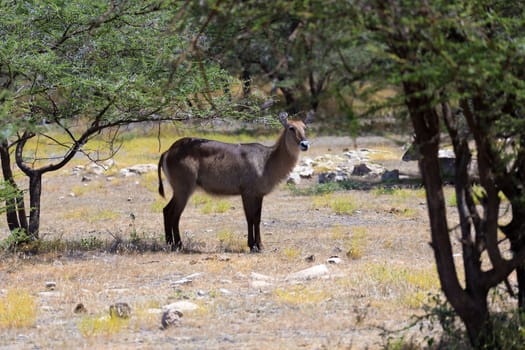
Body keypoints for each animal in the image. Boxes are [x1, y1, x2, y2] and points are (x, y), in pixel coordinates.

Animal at [158, 112, 310, 252]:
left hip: (179, 190)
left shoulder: (258, 194)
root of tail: (168, 151)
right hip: (183, 189)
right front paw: (252, 245)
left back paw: (170, 244)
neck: (267, 160)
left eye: (304, 127)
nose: (305, 144)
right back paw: (178, 245)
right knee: (174, 214)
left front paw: (260, 245)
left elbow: (257, 218)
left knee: (167, 210)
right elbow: (250, 218)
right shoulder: (247, 193)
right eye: (291, 127)